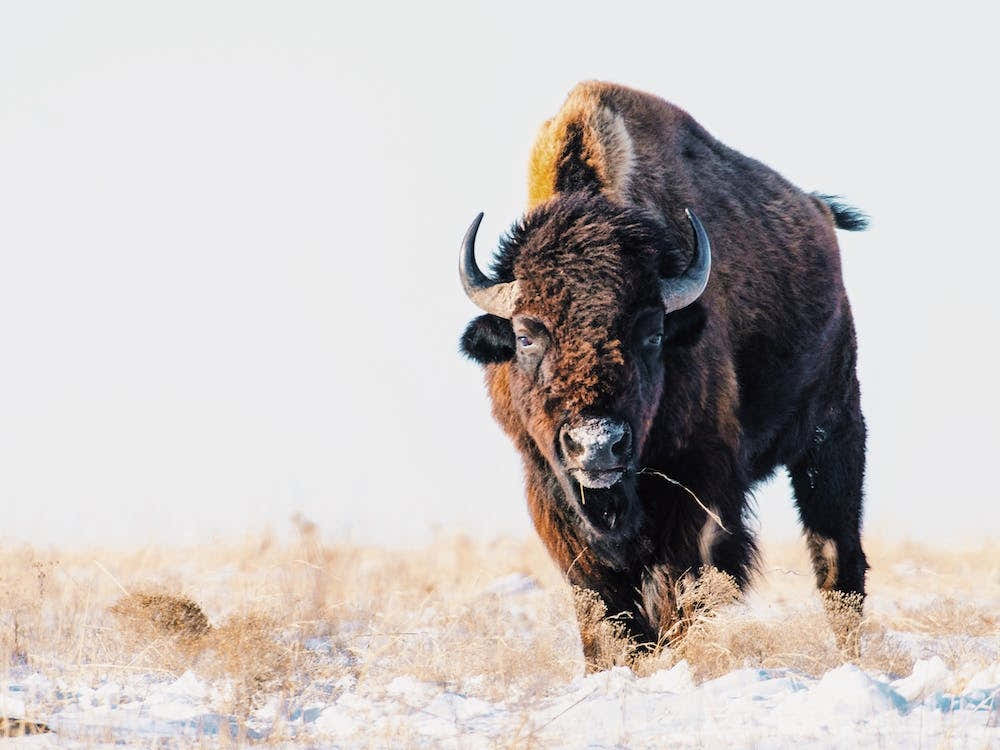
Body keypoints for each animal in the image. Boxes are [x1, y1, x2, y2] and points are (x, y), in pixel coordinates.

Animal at [459, 81, 869, 664]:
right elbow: (603, 608)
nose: (598, 445)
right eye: (525, 335)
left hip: (833, 432)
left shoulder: (699, 485)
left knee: (837, 559)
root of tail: (817, 212)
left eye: (652, 332)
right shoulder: (548, 489)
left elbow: (679, 590)